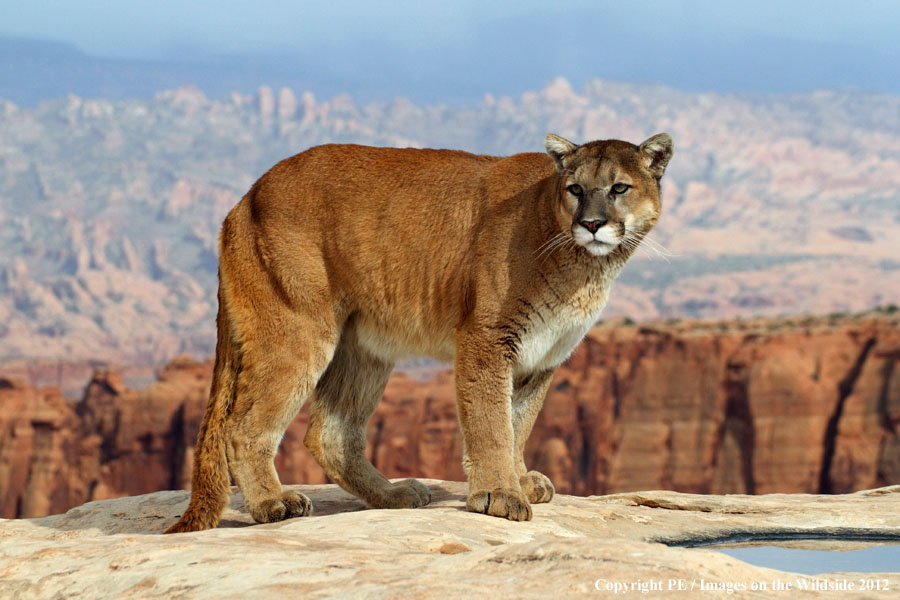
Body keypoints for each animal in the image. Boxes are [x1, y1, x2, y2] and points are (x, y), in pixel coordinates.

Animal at [165, 132, 673, 532]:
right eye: (575, 189)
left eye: (619, 188)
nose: (592, 223)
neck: (585, 266)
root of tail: (245, 197)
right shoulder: (487, 339)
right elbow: (491, 422)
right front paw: (499, 495)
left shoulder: (542, 357)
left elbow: (520, 423)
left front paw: (519, 479)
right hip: (297, 331)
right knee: (242, 427)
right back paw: (274, 502)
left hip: (364, 345)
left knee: (330, 433)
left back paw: (393, 495)